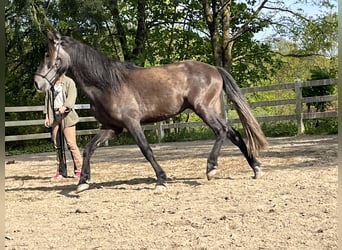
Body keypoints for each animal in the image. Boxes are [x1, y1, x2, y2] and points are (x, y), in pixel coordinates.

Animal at [33, 30, 268, 192]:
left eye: (48, 55)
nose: (37, 83)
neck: (107, 84)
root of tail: (214, 69)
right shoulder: (111, 128)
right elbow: (88, 149)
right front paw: (83, 181)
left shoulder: (132, 124)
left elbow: (146, 150)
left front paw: (161, 180)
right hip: (213, 110)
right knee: (234, 134)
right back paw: (256, 168)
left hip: (204, 110)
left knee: (221, 132)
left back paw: (211, 167)